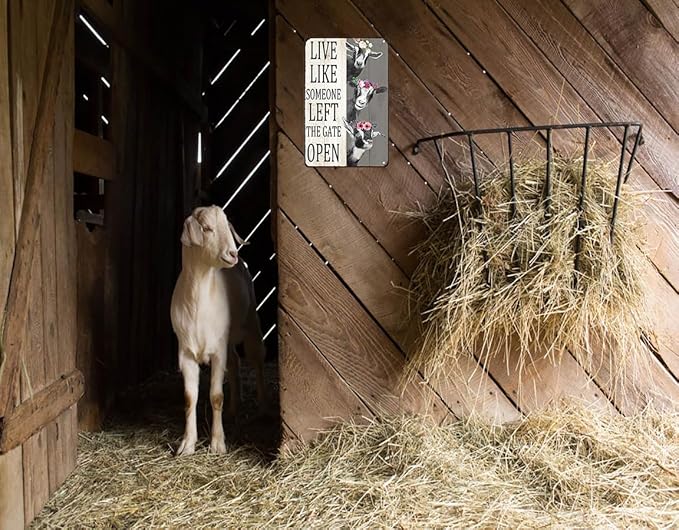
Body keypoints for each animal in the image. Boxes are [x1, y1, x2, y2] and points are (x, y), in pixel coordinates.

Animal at [170, 206, 266, 456]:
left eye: (227, 227)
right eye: (207, 228)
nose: (232, 253)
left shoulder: (217, 351)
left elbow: (215, 396)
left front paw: (218, 443)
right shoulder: (185, 352)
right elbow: (189, 398)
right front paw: (187, 444)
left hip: (251, 323)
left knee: (256, 360)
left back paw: (262, 406)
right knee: (235, 362)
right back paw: (234, 408)